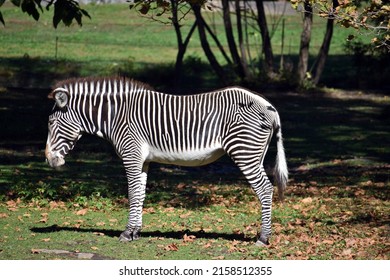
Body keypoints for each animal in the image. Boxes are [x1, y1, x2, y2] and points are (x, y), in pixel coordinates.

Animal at [45, 76, 288, 245]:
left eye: (50, 123)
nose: (49, 159)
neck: (115, 116)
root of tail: (269, 106)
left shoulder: (131, 155)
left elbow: (132, 193)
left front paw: (126, 233)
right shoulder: (142, 160)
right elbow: (140, 194)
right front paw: (135, 232)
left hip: (245, 152)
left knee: (265, 189)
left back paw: (263, 238)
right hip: (255, 153)